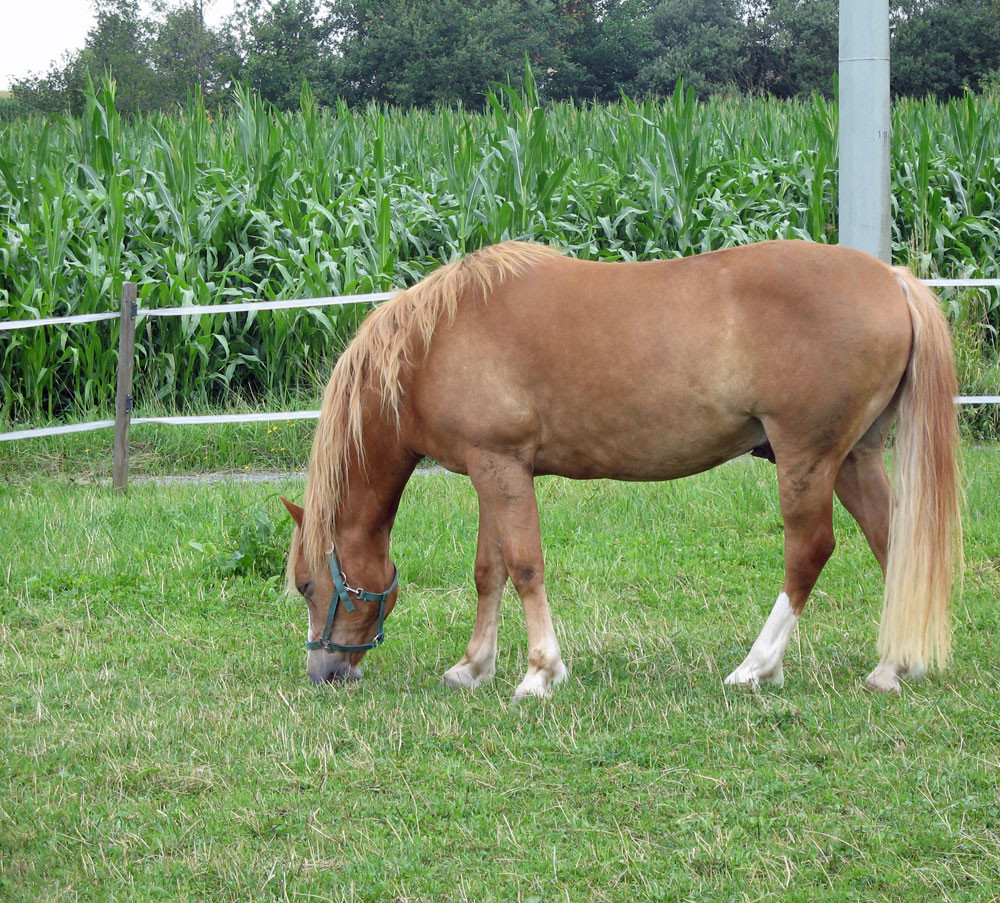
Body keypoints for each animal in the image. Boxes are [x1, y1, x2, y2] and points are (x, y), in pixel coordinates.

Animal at [282, 237, 960, 696]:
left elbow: (524, 566)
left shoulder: (501, 467)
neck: (435, 342)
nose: (325, 672)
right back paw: (889, 668)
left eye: (308, 585)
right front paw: (473, 667)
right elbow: (489, 570)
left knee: (810, 552)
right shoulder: (490, 468)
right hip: (854, 459)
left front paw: (539, 673)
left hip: (807, 459)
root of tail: (892, 280)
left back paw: (755, 667)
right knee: (892, 543)